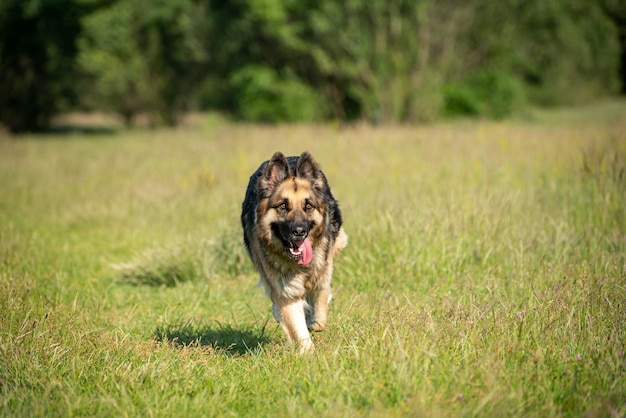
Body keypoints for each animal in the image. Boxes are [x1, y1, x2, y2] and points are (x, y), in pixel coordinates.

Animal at [240, 150, 346, 352]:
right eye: (282, 206)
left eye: (308, 206)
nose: (299, 231)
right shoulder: (285, 291)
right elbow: (297, 327)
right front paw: (308, 352)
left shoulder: (321, 273)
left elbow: (320, 303)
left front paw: (314, 321)